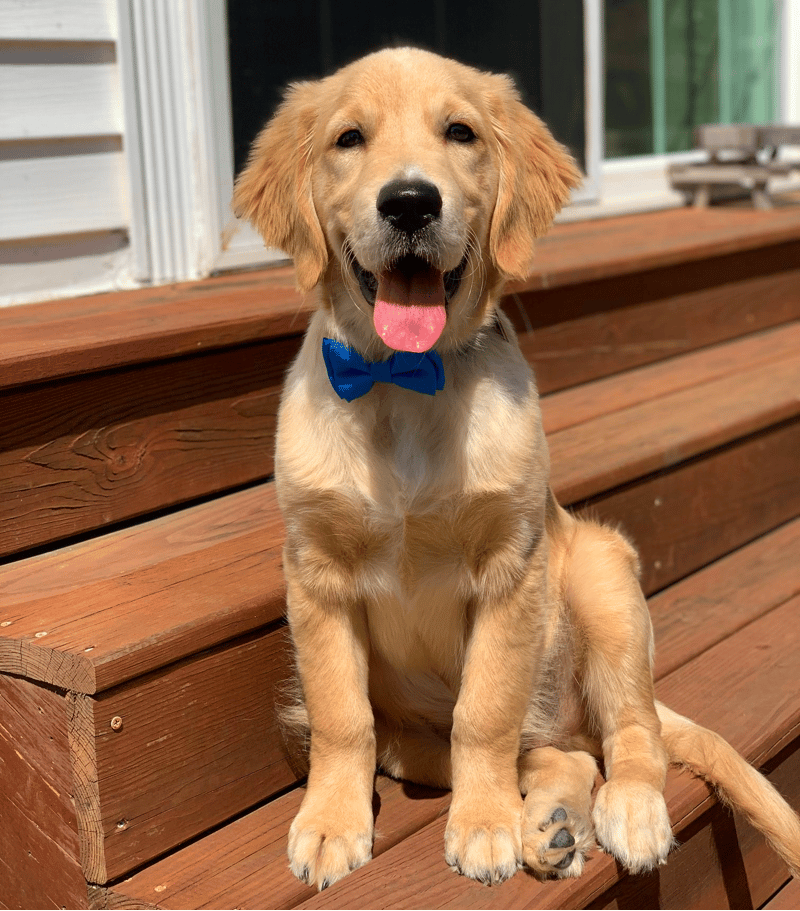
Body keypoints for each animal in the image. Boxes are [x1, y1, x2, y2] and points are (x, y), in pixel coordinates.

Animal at [234, 48, 800, 892]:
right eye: (348, 138)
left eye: (460, 132)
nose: (409, 203)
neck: (403, 382)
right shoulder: (315, 572)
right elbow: (341, 717)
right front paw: (333, 821)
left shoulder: (511, 566)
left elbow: (485, 712)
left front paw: (482, 825)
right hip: (415, 736)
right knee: (562, 754)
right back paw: (551, 823)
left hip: (603, 575)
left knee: (632, 734)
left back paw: (624, 813)